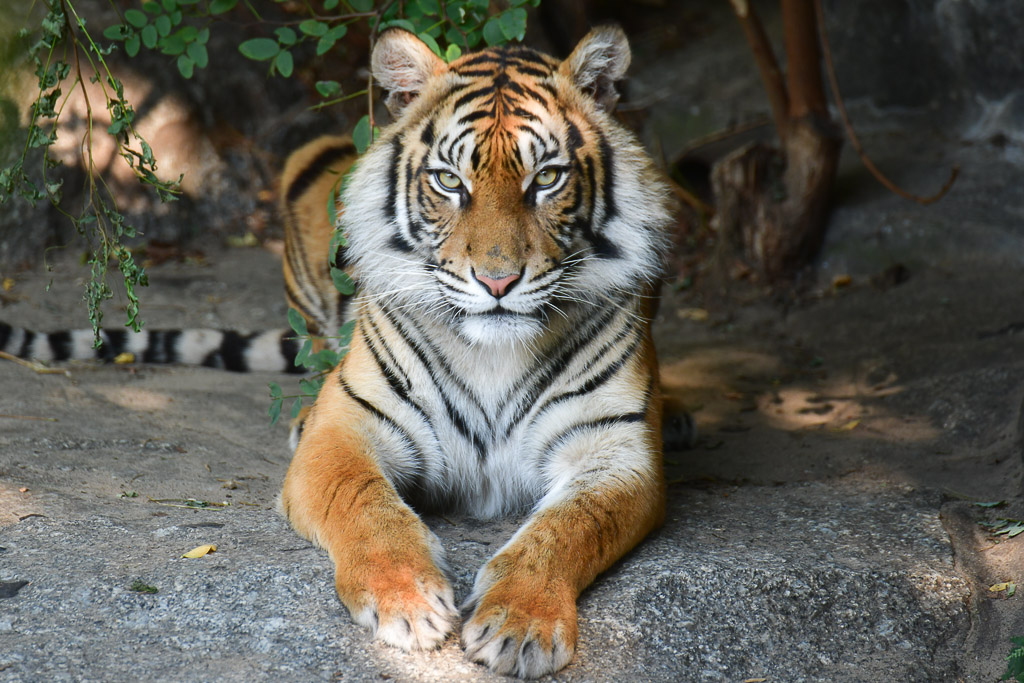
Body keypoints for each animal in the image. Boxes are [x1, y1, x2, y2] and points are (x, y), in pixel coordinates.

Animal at [277, 26, 676, 679]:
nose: (497, 281)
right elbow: (364, 504)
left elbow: (566, 527)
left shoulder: (615, 447)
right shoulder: (347, 424)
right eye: (449, 181)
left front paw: (521, 624)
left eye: (546, 179)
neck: (493, 357)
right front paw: (407, 601)